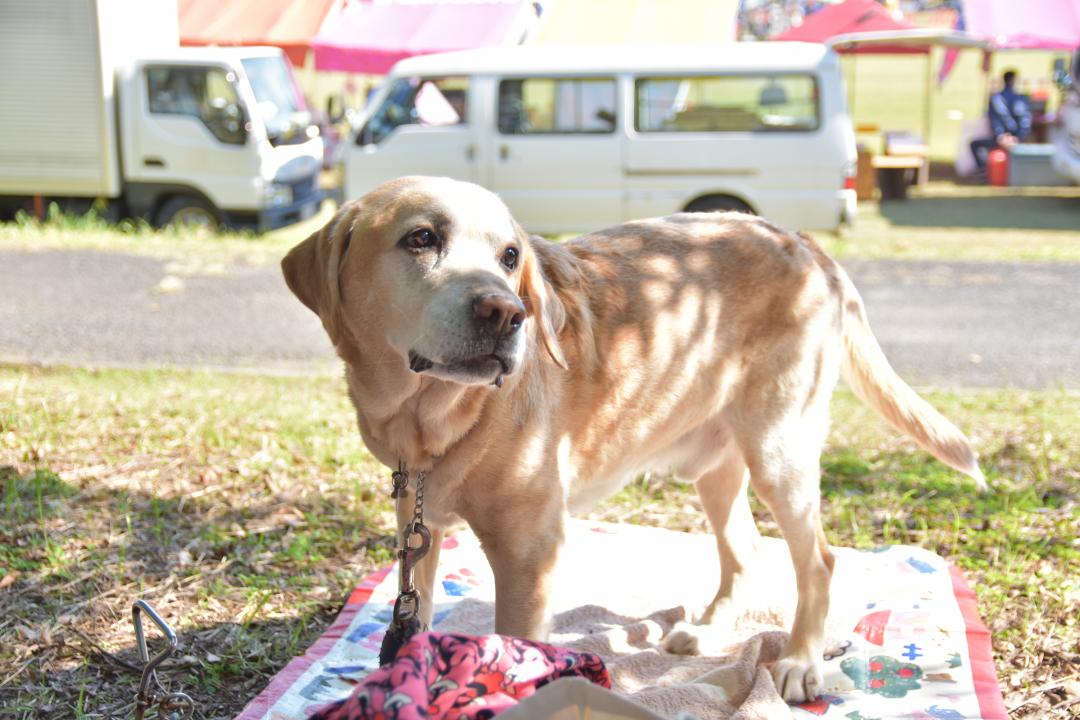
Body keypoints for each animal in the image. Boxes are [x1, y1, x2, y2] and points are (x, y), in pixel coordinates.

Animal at [282, 175, 984, 703]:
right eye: (421, 239)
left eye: (510, 257)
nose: (509, 313)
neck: (436, 420)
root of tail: (803, 241)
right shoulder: (417, 527)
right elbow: (418, 622)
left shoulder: (529, 552)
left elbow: (516, 644)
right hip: (718, 469)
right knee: (746, 553)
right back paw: (709, 634)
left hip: (779, 452)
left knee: (820, 561)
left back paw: (800, 660)